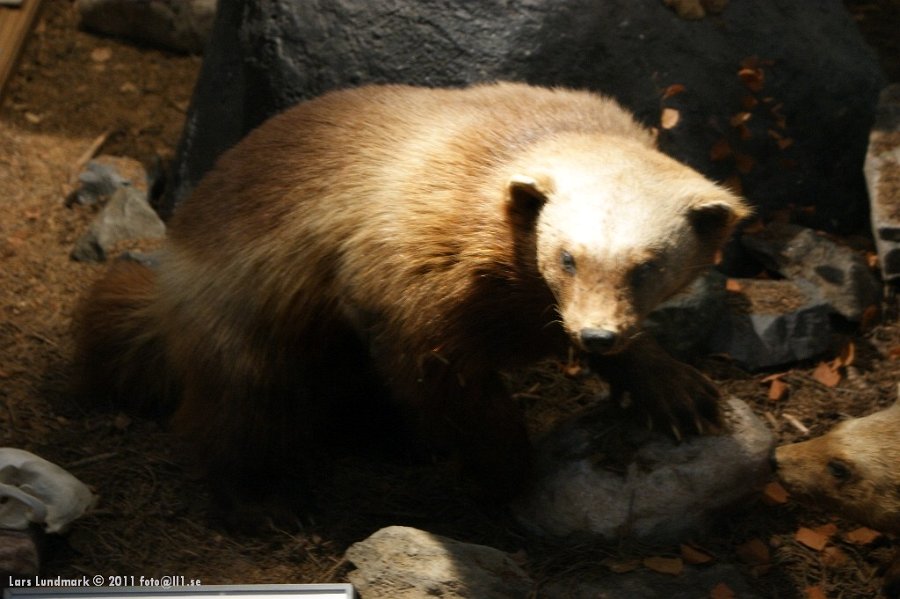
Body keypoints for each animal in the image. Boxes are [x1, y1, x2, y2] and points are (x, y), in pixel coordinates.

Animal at [75, 82, 749, 527]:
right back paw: (257, 502)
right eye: (567, 258)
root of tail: (163, 291)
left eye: (647, 266)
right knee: (231, 420)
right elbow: (454, 392)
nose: (597, 337)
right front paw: (499, 471)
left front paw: (673, 387)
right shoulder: (409, 294)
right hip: (246, 341)